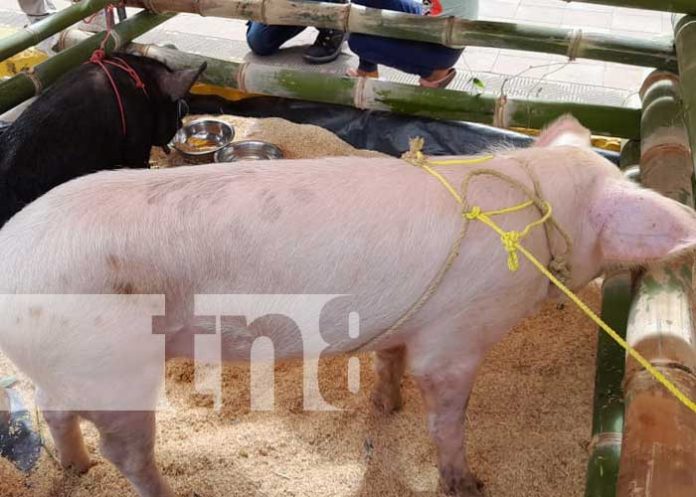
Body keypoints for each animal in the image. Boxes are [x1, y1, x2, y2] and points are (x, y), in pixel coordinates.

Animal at [0, 116, 695, 497]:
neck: (534, 210)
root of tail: (11, 261)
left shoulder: (408, 318)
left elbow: (389, 359)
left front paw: (385, 407)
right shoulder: (458, 336)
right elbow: (447, 415)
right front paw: (466, 484)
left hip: (68, 361)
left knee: (53, 408)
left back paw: (78, 467)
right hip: (109, 360)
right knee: (126, 451)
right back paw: (158, 488)